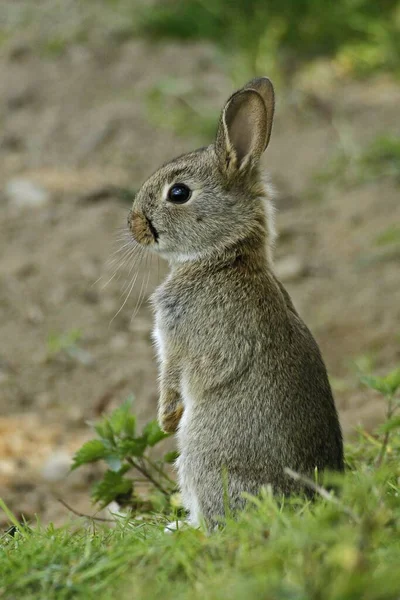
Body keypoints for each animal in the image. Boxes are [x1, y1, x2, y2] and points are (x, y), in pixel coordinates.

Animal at [127, 76, 344, 528]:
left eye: (178, 193)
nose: (133, 223)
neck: (223, 256)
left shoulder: (178, 341)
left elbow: (172, 378)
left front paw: (165, 420)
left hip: (201, 455)